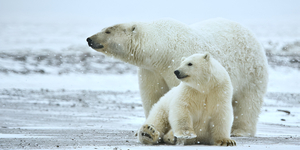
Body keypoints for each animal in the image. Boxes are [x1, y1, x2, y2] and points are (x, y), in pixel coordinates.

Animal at [87, 18, 270, 137]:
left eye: (108, 30)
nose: (89, 39)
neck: (162, 51)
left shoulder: (178, 64)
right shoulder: (151, 71)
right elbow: (153, 96)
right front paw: (148, 128)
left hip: (251, 71)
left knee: (248, 102)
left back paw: (240, 131)